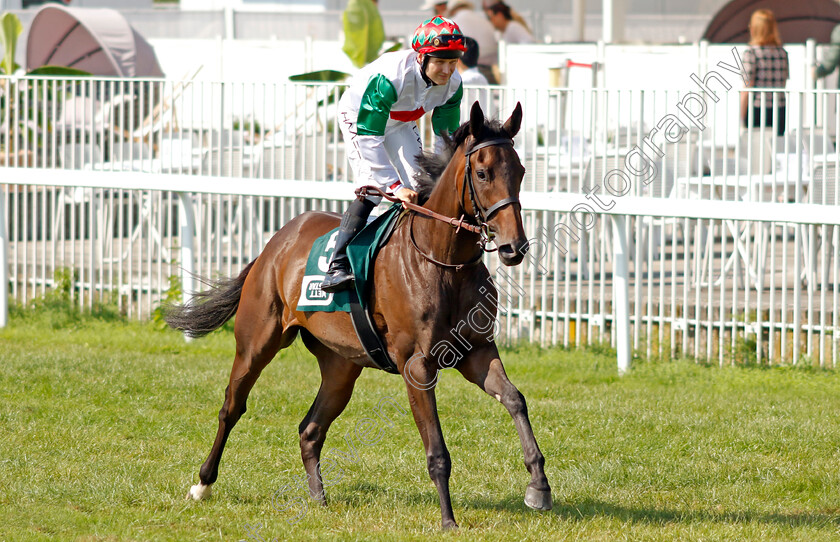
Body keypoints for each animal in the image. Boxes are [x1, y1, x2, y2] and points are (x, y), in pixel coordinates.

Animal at [167, 103, 556, 532]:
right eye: (483, 173)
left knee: (310, 429)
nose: (514, 247)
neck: (443, 262)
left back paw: (318, 498)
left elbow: (515, 400)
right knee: (232, 407)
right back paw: (203, 484)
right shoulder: (417, 366)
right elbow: (437, 449)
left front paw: (539, 486)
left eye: (520, 170)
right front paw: (448, 519)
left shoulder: (477, 351)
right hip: (256, 343)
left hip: (341, 367)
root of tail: (275, 244)